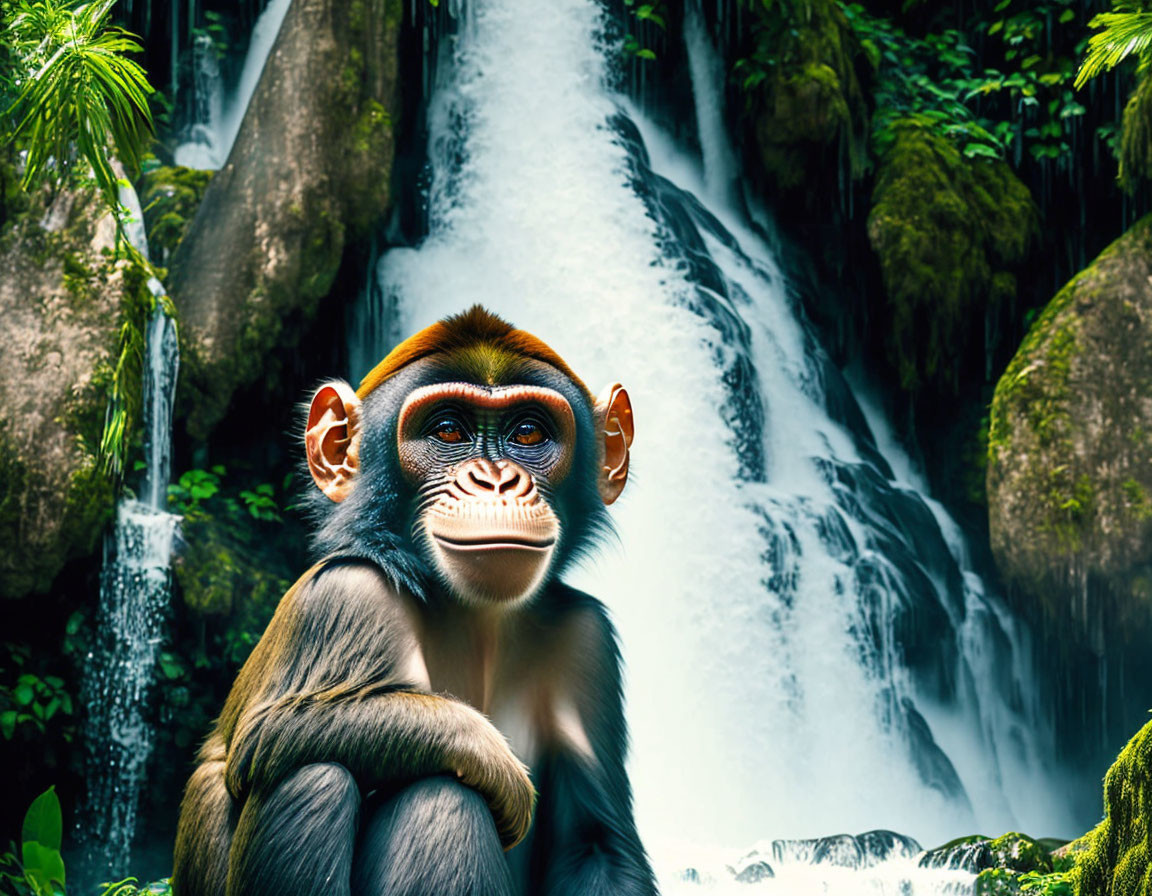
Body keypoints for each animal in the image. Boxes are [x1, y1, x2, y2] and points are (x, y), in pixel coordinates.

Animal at [170, 306, 658, 893]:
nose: (496, 481)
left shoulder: (587, 639)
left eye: (528, 432)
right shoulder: (345, 596)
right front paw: (487, 751)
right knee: (325, 776)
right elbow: (271, 730)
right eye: (447, 430)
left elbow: (597, 844)